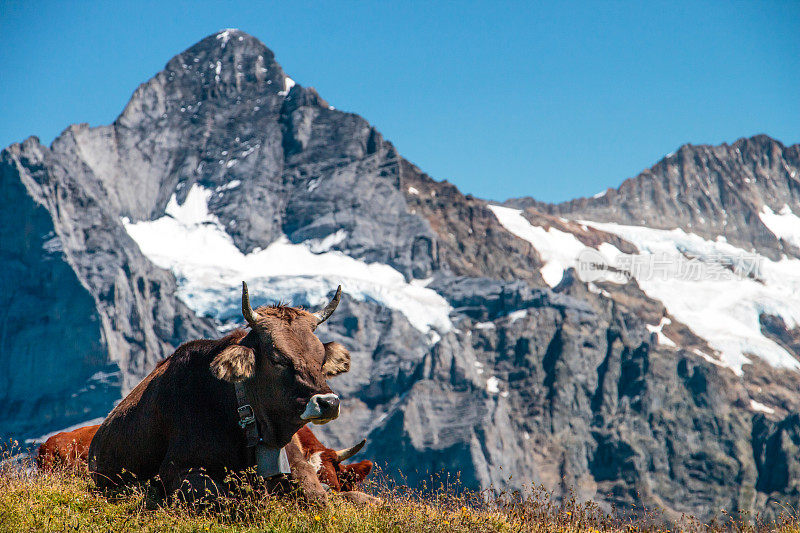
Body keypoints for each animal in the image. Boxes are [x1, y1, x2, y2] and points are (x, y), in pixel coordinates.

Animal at [86, 280, 350, 504]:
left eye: (321, 358)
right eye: (279, 359)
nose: (329, 402)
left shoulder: (298, 464)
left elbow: (320, 500)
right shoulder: (177, 468)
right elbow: (229, 500)